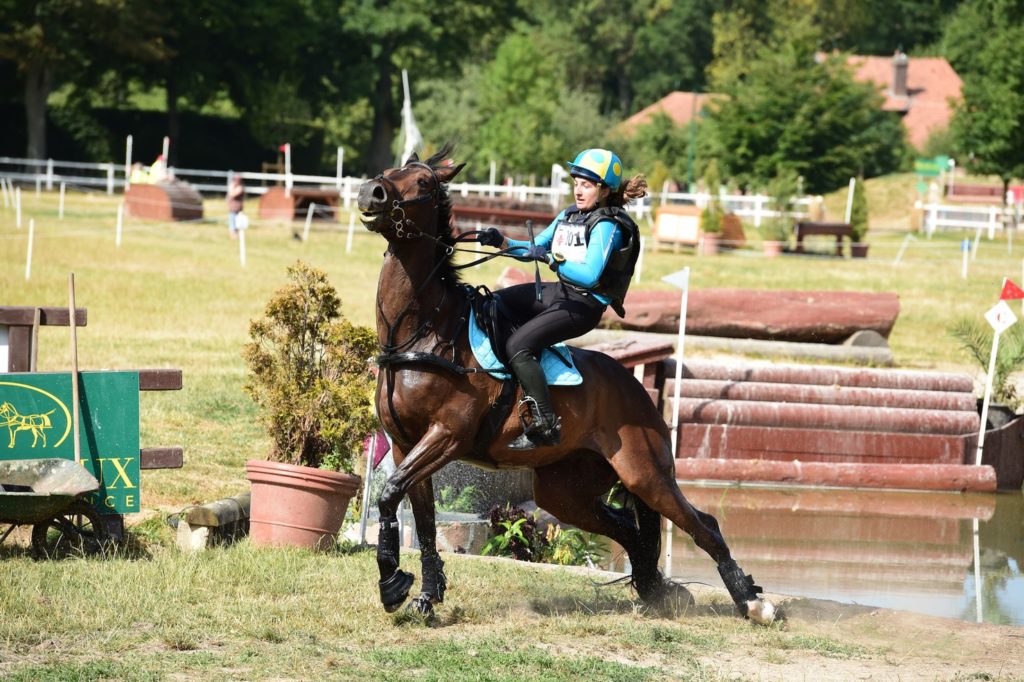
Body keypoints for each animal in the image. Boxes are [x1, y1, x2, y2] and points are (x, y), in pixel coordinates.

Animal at [356, 146, 770, 622]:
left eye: (423, 183)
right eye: (389, 171)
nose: (371, 192)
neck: (425, 332)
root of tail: (638, 392)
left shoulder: (445, 436)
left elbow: (389, 496)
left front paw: (392, 583)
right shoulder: (406, 444)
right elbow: (420, 521)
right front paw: (425, 595)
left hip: (646, 474)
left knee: (704, 525)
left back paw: (753, 601)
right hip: (564, 489)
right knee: (629, 530)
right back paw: (660, 591)